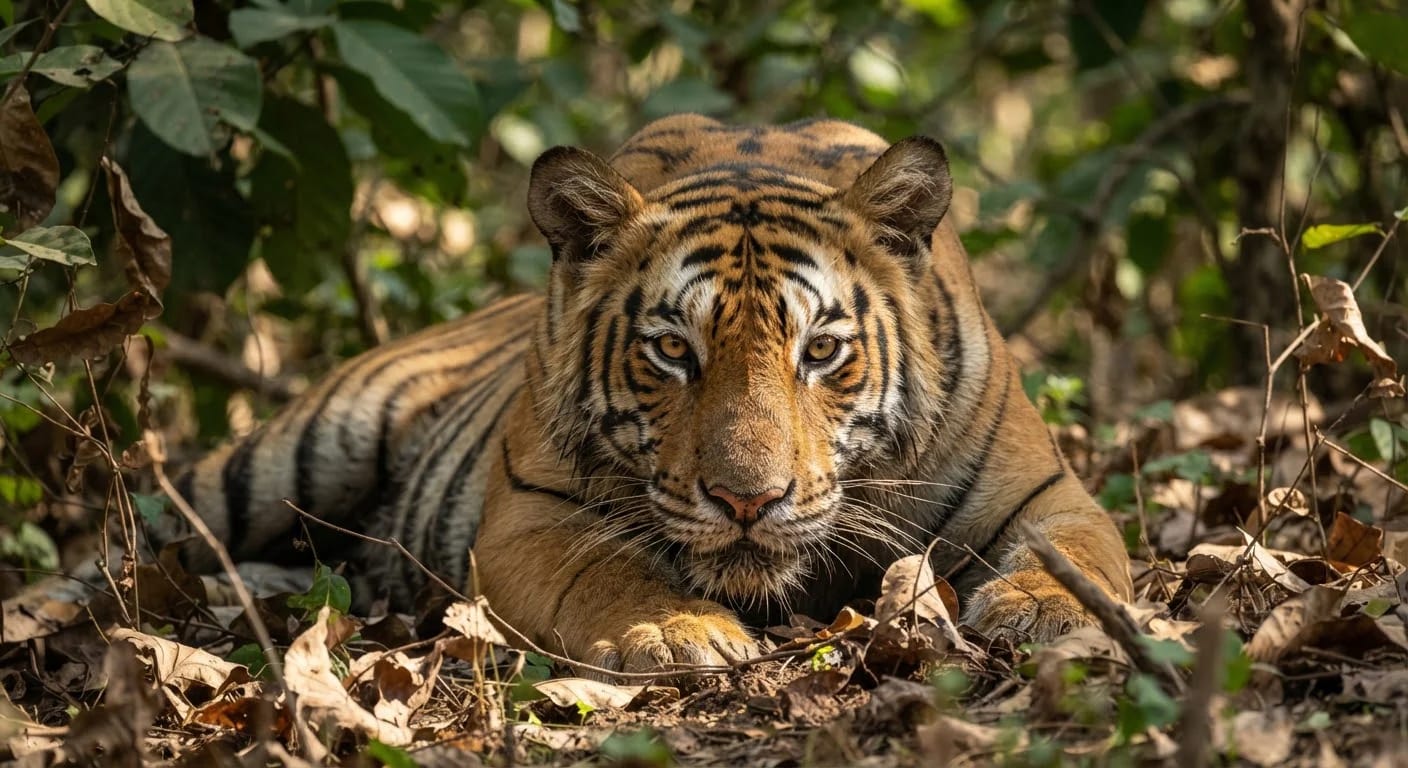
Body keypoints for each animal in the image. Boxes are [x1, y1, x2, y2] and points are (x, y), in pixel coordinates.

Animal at [171, 114, 1132, 672]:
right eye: (674, 350)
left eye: (821, 350)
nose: (748, 502)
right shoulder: (530, 517)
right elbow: (605, 574)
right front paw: (678, 631)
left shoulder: (1043, 490)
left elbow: (1081, 548)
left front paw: (1044, 610)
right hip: (290, 456)